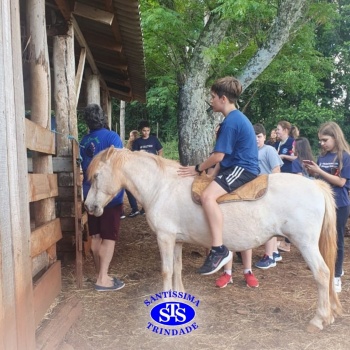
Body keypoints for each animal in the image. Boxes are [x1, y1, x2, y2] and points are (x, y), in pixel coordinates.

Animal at [85, 147, 342, 330]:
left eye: (96, 176)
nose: (88, 207)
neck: (162, 187)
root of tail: (316, 185)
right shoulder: (176, 241)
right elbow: (177, 269)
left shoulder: (165, 238)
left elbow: (166, 271)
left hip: (306, 243)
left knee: (322, 273)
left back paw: (319, 319)